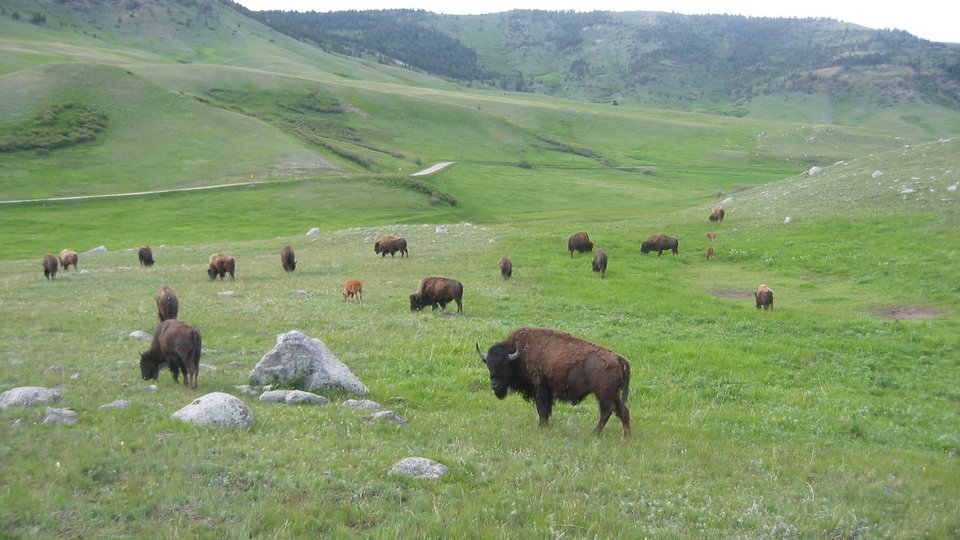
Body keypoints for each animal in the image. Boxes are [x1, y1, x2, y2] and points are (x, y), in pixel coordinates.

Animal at [477, 327, 632, 437]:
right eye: (488, 365)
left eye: (504, 365)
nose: (494, 384)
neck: (519, 354)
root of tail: (619, 358)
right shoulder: (548, 392)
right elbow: (546, 410)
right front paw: (545, 426)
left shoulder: (540, 389)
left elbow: (541, 409)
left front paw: (541, 427)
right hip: (606, 395)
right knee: (612, 411)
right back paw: (599, 434)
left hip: (606, 394)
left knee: (617, 411)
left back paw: (623, 436)